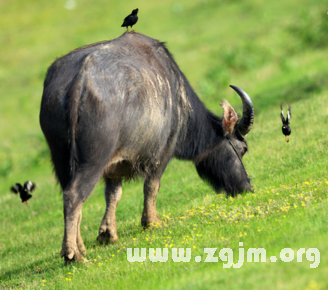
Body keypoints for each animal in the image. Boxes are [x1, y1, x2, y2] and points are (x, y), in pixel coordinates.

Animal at [39, 32, 254, 262]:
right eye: (242, 149)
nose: (248, 187)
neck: (178, 98)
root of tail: (79, 80)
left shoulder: (115, 166)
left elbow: (113, 194)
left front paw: (108, 233)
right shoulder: (163, 152)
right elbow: (152, 186)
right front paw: (152, 221)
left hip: (61, 160)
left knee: (70, 198)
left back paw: (80, 247)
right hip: (93, 160)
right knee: (74, 196)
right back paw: (73, 255)